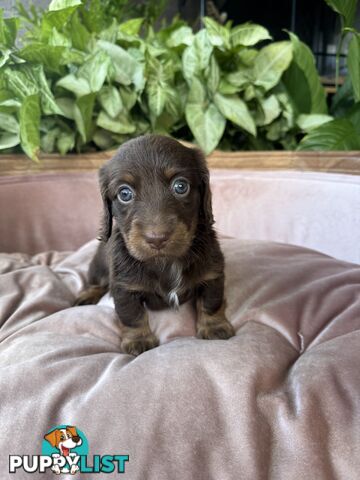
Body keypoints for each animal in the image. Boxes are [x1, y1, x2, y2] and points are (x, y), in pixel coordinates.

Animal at [77, 133, 235, 354]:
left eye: (180, 186)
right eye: (124, 193)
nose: (157, 238)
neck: (165, 262)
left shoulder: (212, 275)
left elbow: (211, 302)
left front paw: (215, 326)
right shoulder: (125, 288)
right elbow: (132, 316)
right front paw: (139, 340)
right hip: (98, 266)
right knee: (97, 282)